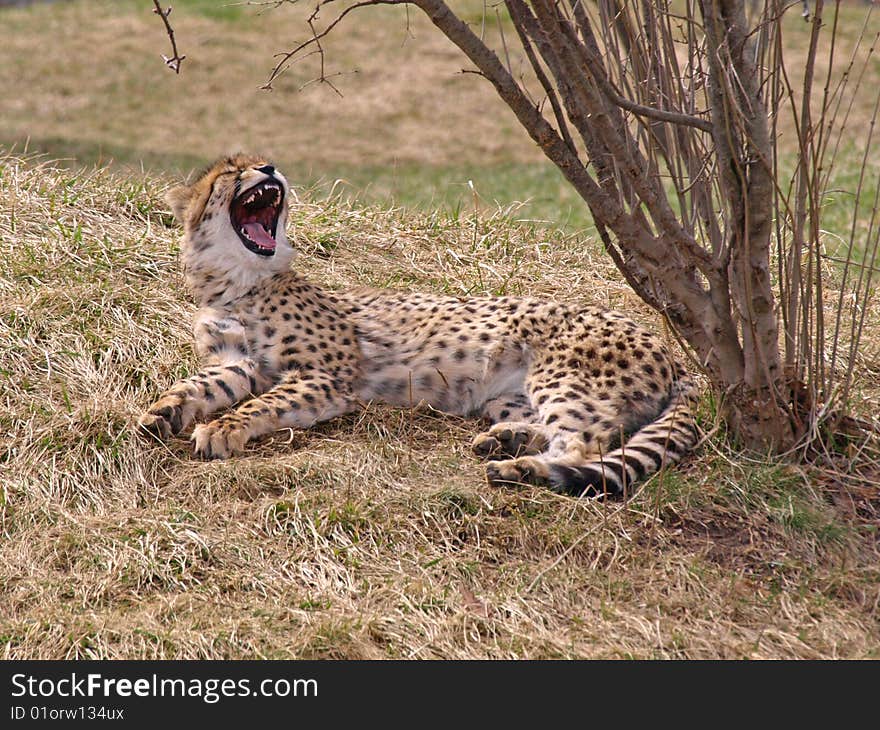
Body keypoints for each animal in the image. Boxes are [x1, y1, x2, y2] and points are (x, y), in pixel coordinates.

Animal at [138, 153, 696, 494]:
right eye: (230, 172)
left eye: (253, 164)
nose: (267, 167)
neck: (236, 282)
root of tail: (668, 348)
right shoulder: (238, 363)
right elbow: (198, 385)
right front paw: (161, 412)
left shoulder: (324, 377)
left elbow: (261, 404)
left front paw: (223, 429)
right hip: (505, 394)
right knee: (574, 430)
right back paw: (508, 440)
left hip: (564, 376)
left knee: (588, 443)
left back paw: (521, 468)